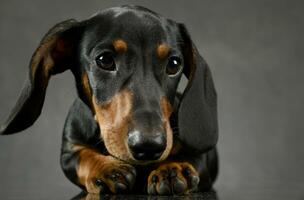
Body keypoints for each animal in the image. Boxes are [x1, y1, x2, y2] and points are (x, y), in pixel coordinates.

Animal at [0, 5, 218, 195]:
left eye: (174, 64)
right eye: (104, 60)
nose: (149, 146)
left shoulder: (203, 156)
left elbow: (193, 156)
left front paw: (174, 167)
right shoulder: (69, 150)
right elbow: (81, 157)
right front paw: (105, 169)